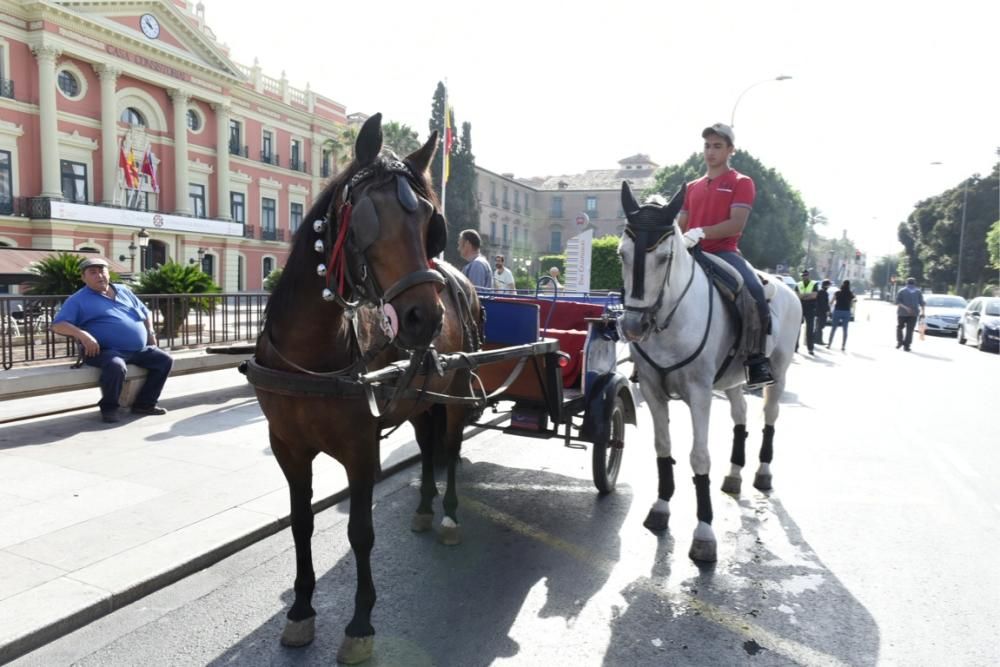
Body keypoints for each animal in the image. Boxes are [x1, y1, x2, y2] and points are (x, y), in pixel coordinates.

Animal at [254, 113, 480, 664]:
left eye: (430, 222)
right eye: (366, 218)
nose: (424, 317)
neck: (312, 354)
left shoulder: (360, 449)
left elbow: (360, 532)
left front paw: (359, 622)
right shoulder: (286, 446)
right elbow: (301, 522)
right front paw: (301, 610)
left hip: (456, 392)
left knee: (450, 447)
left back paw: (447, 515)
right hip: (422, 398)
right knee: (426, 446)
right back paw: (423, 508)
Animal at [616, 183, 804, 564]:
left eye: (664, 257)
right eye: (621, 254)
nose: (632, 327)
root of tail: (786, 287)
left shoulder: (700, 394)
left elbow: (699, 457)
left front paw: (704, 532)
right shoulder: (654, 391)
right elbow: (663, 447)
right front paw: (661, 507)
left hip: (777, 375)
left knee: (769, 417)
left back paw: (762, 472)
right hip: (731, 381)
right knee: (740, 416)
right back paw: (734, 474)